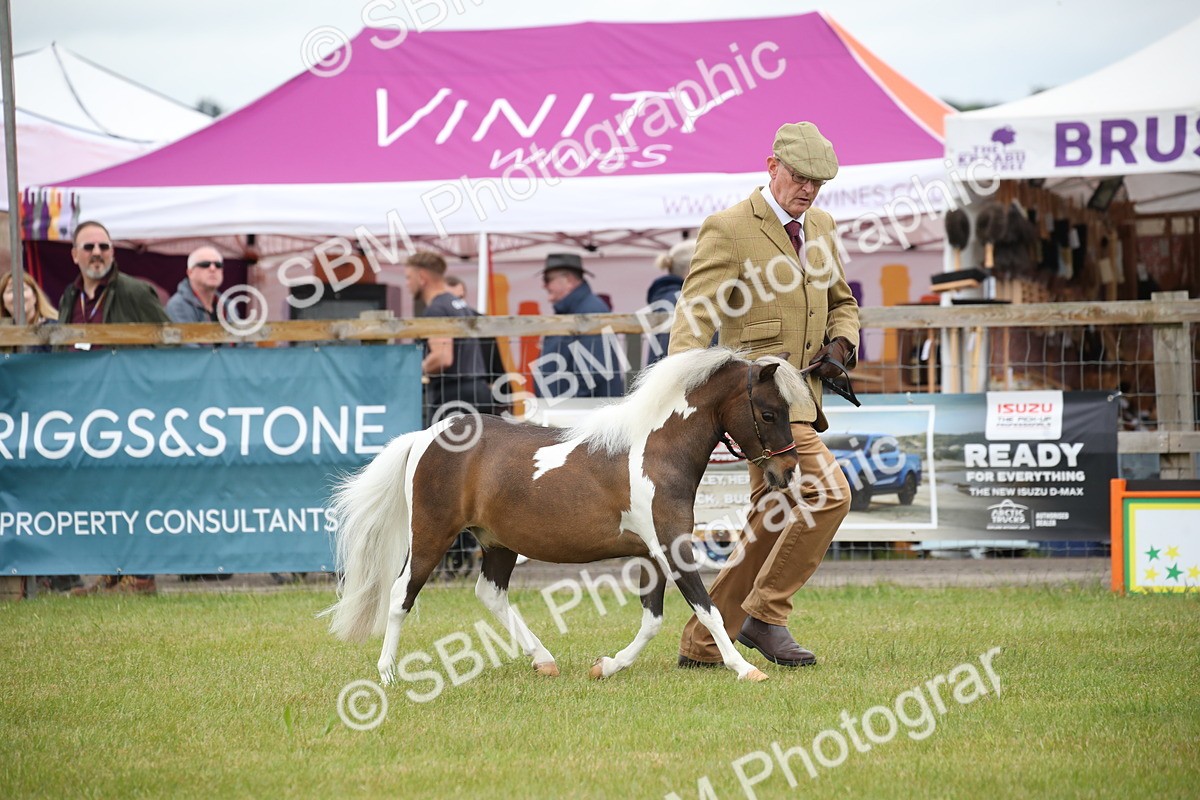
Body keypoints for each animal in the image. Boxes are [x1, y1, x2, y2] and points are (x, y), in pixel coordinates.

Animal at [322, 347, 808, 683]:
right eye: (769, 413)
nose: (787, 472)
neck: (656, 449)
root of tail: (426, 435)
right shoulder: (673, 548)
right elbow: (708, 610)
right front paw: (746, 669)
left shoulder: (653, 553)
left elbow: (652, 620)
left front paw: (606, 666)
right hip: (431, 536)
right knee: (401, 594)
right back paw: (387, 674)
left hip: (497, 542)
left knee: (490, 594)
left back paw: (544, 661)